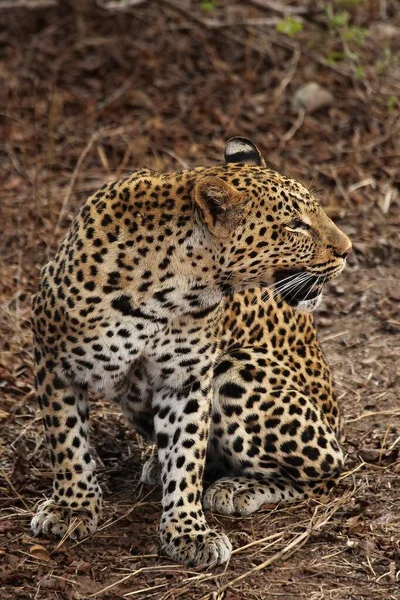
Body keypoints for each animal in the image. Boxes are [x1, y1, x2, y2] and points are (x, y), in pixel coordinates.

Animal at [30, 136, 350, 568]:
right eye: (295, 224)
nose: (347, 250)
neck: (171, 286)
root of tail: (337, 418)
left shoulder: (187, 379)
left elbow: (186, 454)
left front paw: (188, 531)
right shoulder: (53, 358)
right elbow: (67, 440)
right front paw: (72, 507)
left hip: (237, 368)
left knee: (329, 473)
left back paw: (237, 488)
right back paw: (157, 466)